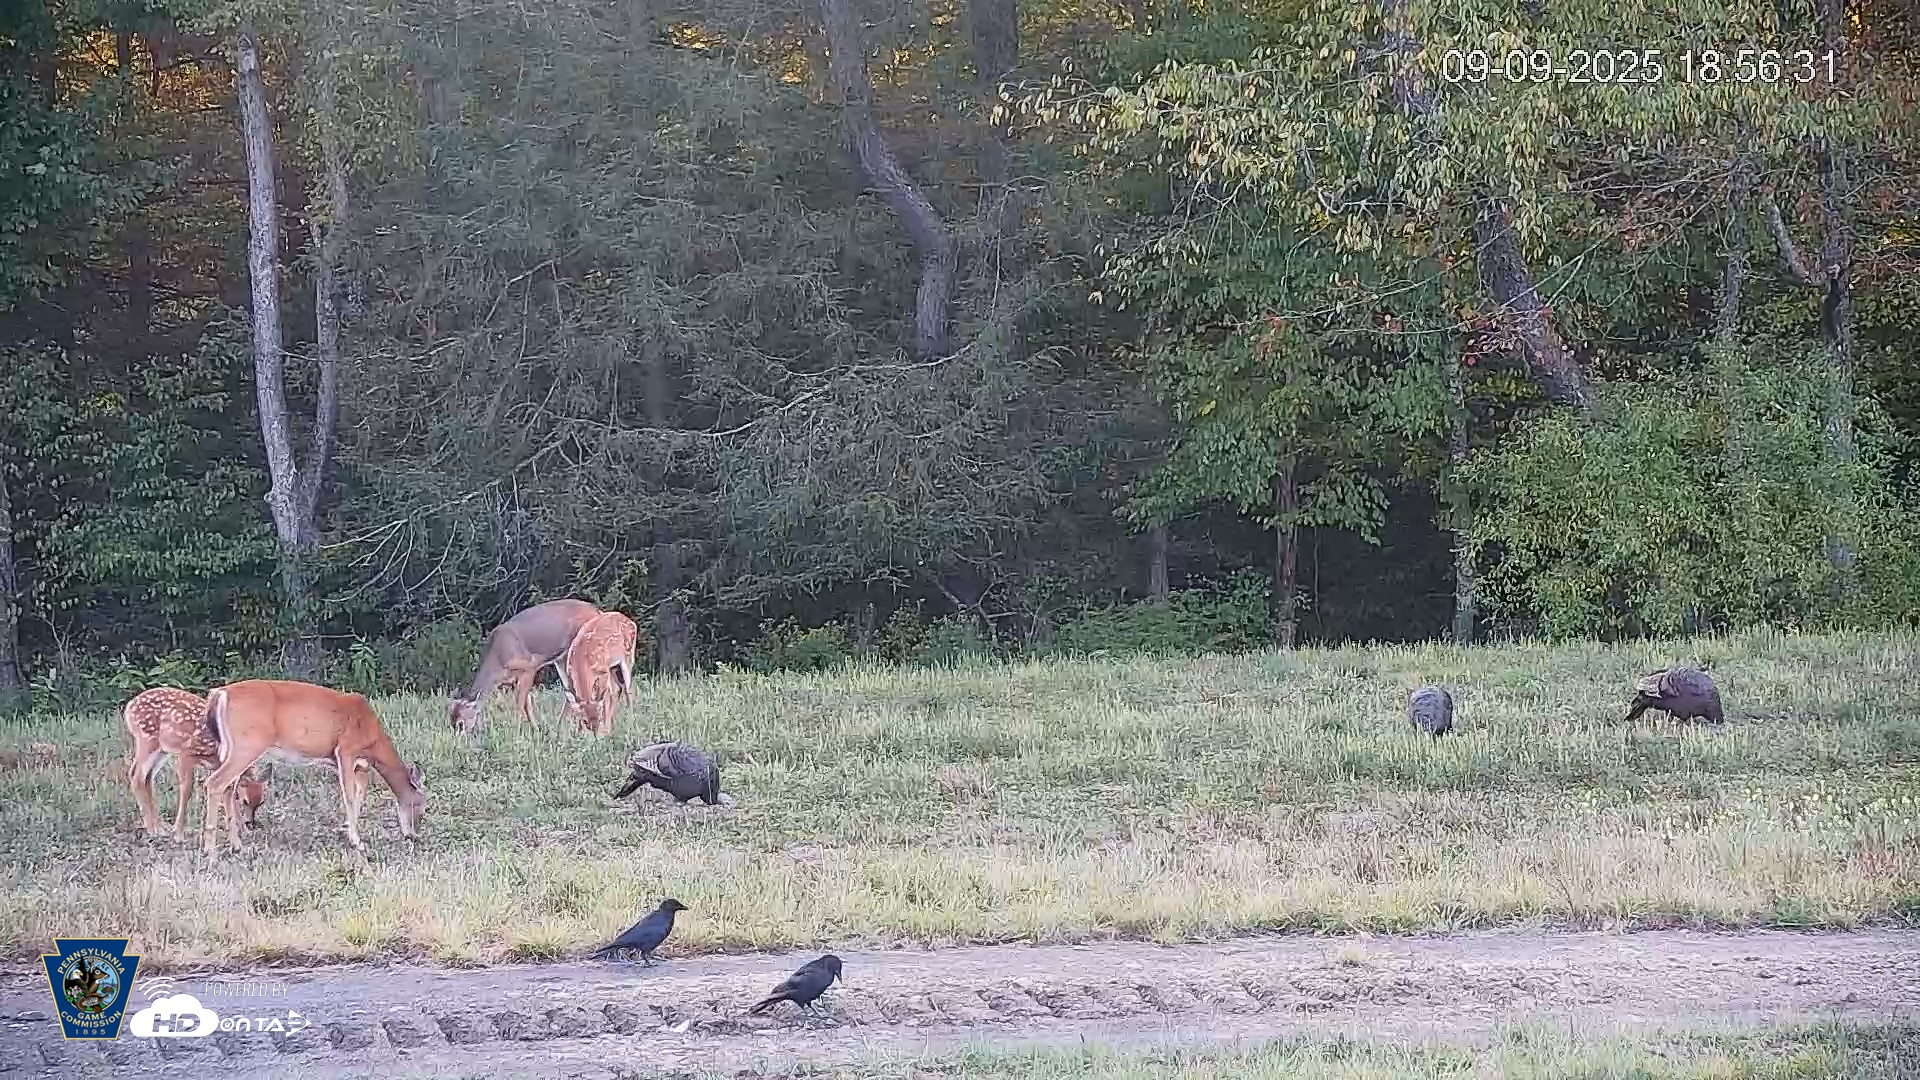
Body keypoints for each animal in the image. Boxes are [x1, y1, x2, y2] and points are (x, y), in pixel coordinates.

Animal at [124, 687, 271, 840]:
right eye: (245, 801)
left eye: (261, 802)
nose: (250, 823)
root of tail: (129, 706)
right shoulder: (186, 754)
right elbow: (187, 789)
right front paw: (179, 833)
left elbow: (228, 794)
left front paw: (243, 830)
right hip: (147, 740)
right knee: (136, 775)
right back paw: (152, 830)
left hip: (162, 749)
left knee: (148, 778)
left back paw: (159, 828)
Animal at [199, 679, 425, 856]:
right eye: (420, 806)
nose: (413, 835)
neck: (373, 739)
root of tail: (220, 693)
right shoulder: (346, 751)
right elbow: (350, 797)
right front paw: (356, 841)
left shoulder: (361, 766)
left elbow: (359, 797)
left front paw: (346, 830)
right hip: (248, 744)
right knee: (215, 783)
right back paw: (210, 850)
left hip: (230, 748)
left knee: (229, 787)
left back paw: (236, 846)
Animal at [449, 598, 602, 734]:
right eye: (452, 723)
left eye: (461, 723)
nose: (459, 739)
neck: (498, 660)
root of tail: (597, 611)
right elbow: (527, 703)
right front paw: (535, 729)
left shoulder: (530, 667)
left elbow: (519, 704)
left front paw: (516, 732)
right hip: (562, 659)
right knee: (571, 690)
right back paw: (562, 728)